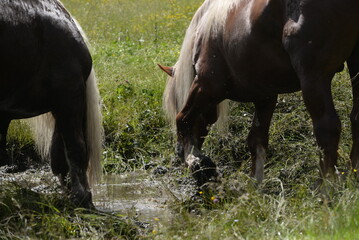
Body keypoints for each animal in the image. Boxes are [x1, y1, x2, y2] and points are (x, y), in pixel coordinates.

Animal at [160, 0, 359, 186]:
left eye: (177, 101)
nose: (178, 151)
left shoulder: (206, 85)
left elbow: (183, 119)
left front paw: (195, 161)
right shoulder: (265, 96)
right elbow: (257, 140)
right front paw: (254, 184)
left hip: (313, 76)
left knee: (327, 128)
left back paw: (323, 188)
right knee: (355, 118)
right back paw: (352, 175)